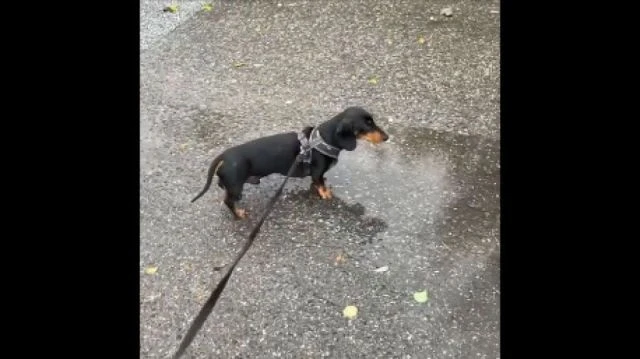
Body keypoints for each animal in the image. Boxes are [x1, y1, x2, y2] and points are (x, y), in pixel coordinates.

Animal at [191, 107, 390, 219]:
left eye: (373, 121)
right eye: (367, 125)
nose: (387, 137)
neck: (323, 140)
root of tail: (224, 155)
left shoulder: (317, 175)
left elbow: (319, 183)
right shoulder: (317, 173)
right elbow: (320, 184)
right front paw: (325, 194)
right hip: (236, 188)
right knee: (228, 202)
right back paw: (238, 214)